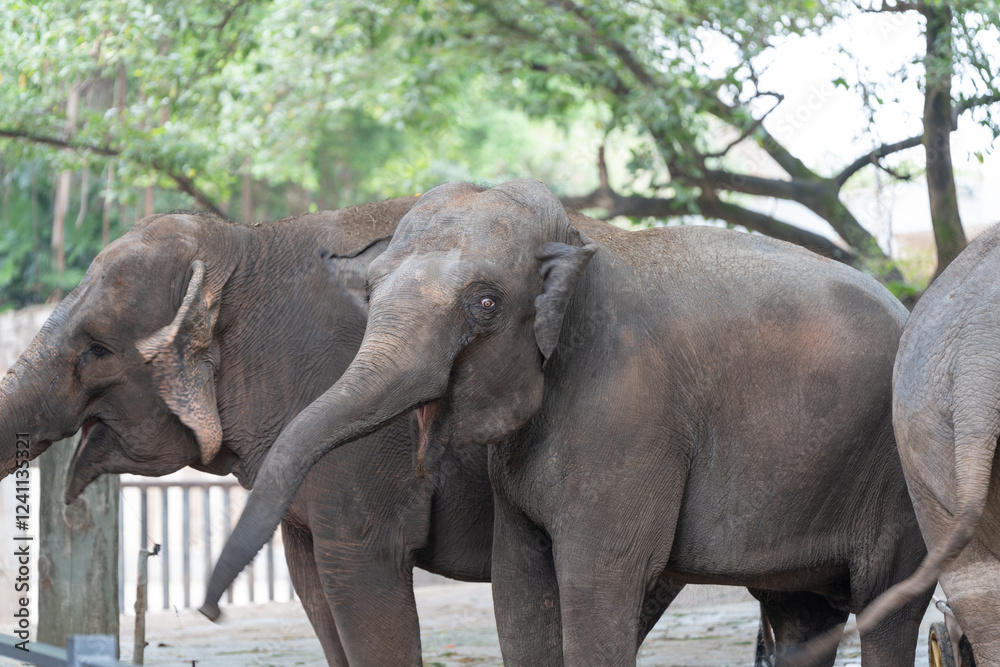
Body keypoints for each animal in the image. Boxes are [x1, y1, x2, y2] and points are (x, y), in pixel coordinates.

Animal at [203, 179, 931, 666]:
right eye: (372, 290)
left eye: (486, 303)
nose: (209, 609)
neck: (578, 251)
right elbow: (519, 587)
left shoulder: (628, 418)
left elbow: (596, 580)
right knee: (800, 612)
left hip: (899, 477)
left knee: (887, 607)